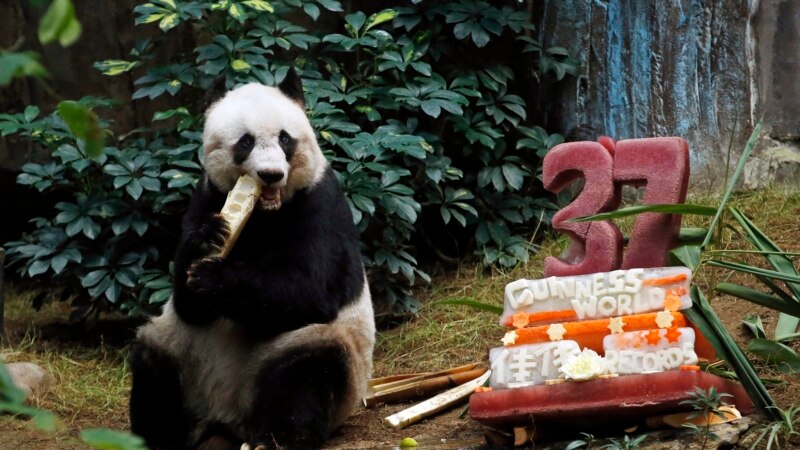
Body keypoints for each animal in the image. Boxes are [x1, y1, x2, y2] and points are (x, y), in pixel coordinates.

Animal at [129, 69, 376, 450]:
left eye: (285, 138)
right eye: (245, 142)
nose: (271, 174)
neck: (264, 212)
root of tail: (228, 415)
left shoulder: (321, 203)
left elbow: (310, 289)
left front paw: (213, 278)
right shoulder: (208, 195)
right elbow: (188, 304)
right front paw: (206, 241)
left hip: (307, 353)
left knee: (310, 370)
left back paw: (277, 437)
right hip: (183, 354)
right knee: (154, 367)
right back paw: (156, 436)